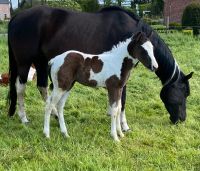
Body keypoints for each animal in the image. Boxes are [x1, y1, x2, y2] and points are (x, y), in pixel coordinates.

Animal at [7, 5, 192, 128]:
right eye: (184, 92)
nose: (181, 119)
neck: (130, 33)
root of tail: (16, 17)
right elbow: (123, 99)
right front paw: (124, 125)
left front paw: (112, 114)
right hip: (24, 63)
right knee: (20, 88)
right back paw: (24, 118)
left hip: (41, 61)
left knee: (42, 87)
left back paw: (53, 113)